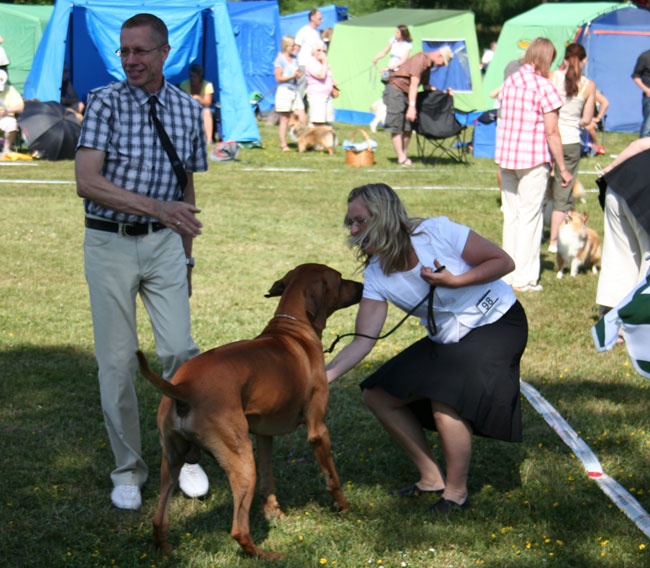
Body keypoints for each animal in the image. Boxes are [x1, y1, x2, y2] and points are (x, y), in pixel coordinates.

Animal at [135, 264, 362, 560]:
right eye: (340, 278)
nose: (363, 286)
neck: (292, 329)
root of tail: (183, 387)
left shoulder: (264, 435)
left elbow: (269, 478)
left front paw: (274, 513)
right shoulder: (318, 429)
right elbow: (332, 477)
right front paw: (343, 505)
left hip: (172, 461)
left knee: (158, 518)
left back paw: (167, 550)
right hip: (241, 462)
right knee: (238, 530)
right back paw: (265, 555)